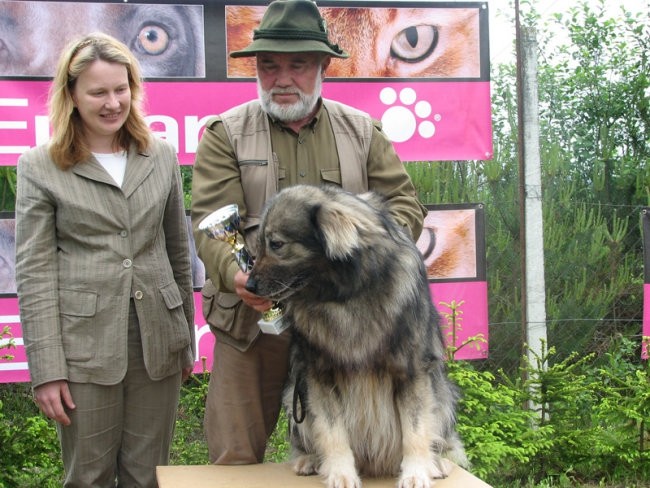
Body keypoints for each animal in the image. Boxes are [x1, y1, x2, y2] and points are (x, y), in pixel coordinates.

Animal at [246, 185, 464, 488]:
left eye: (276, 244)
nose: (248, 286)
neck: (347, 296)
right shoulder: (320, 375)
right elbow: (333, 430)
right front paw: (340, 472)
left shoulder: (412, 373)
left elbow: (416, 429)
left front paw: (416, 472)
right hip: (294, 395)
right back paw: (310, 459)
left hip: (443, 393)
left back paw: (438, 462)